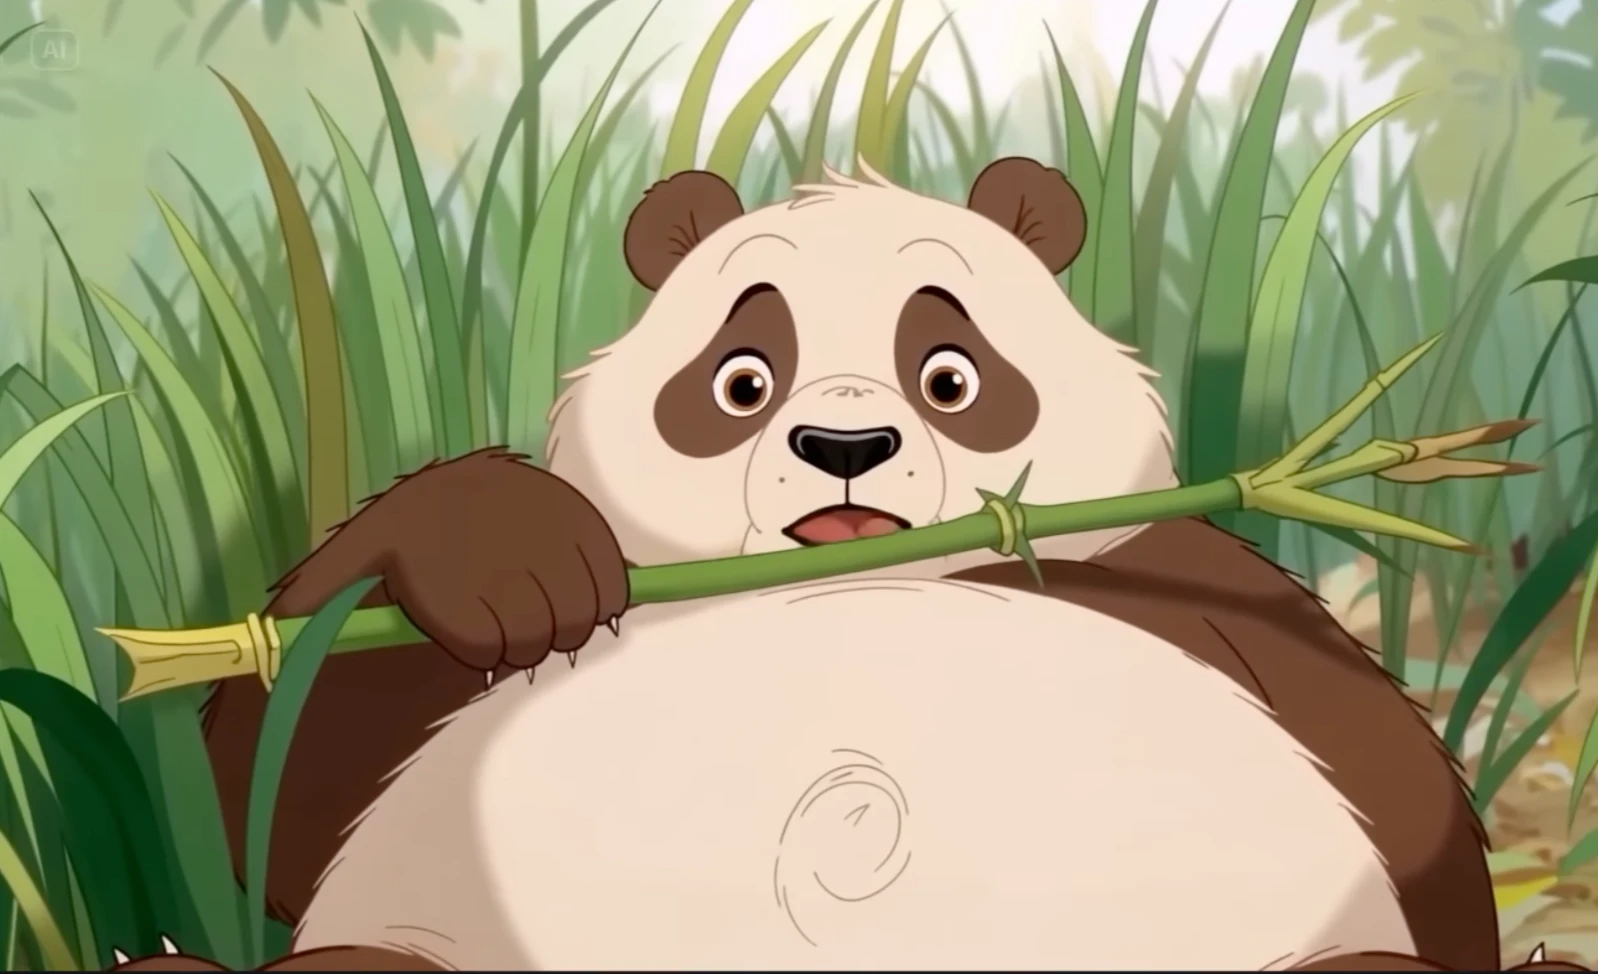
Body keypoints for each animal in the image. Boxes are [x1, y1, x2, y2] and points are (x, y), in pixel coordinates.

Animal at [114, 157, 1575, 972]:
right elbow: (272, 780)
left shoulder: (1179, 581)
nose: (844, 444)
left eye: (951, 371)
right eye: (740, 377)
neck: (849, 582)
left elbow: (1410, 811)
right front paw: (508, 564)